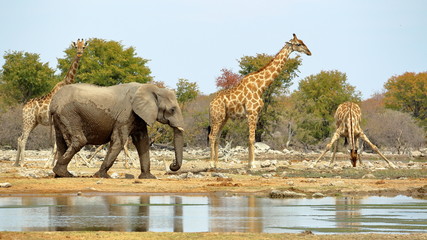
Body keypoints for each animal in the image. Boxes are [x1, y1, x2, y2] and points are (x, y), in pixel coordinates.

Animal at [14, 39, 88, 167]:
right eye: (75, 47)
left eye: (83, 47)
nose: (79, 53)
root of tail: (24, 107)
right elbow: (56, 145)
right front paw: (49, 164)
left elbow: (58, 145)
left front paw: (53, 163)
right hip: (29, 120)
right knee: (23, 139)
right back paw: (22, 163)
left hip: (33, 122)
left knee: (19, 138)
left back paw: (16, 163)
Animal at [49, 82, 184, 178]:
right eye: (172, 110)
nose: (172, 164)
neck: (152, 89)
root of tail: (53, 101)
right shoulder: (126, 114)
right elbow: (119, 140)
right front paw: (101, 176)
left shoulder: (138, 116)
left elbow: (142, 141)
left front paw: (148, 178)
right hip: (69, 114)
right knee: (79, 141)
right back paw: (64, 174)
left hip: (60, 117)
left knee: (61, 143)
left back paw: (60, 175)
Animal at [210, 33, 312, 169]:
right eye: (298, 44)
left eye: (303, 42)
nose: (309, 52)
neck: (260, 87)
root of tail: (210, 104)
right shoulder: (252, 113)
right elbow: (251, 139)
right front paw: (252, 164)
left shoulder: (257, 114)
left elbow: (252, 139)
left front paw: (250, 163)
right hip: (217, 117)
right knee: (212, 136)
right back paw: (211, 164)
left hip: (223, 118)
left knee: (217, 137)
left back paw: (217, 165)